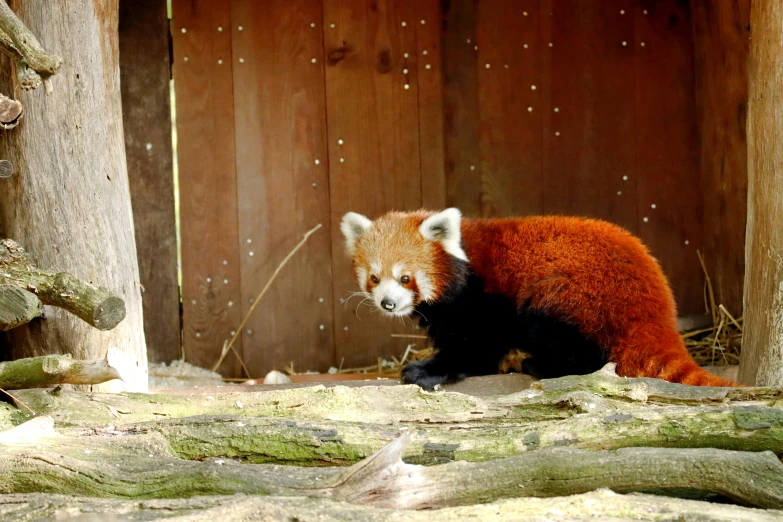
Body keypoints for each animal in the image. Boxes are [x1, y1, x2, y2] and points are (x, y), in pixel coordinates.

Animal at [340, 205, 740, 388]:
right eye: (374, 278)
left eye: (406, 278)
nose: (388, 303)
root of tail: (655, 306)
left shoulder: (485, 300)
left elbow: (477, 344)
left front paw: (428, 370)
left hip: (570, 297)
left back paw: (543, 365)